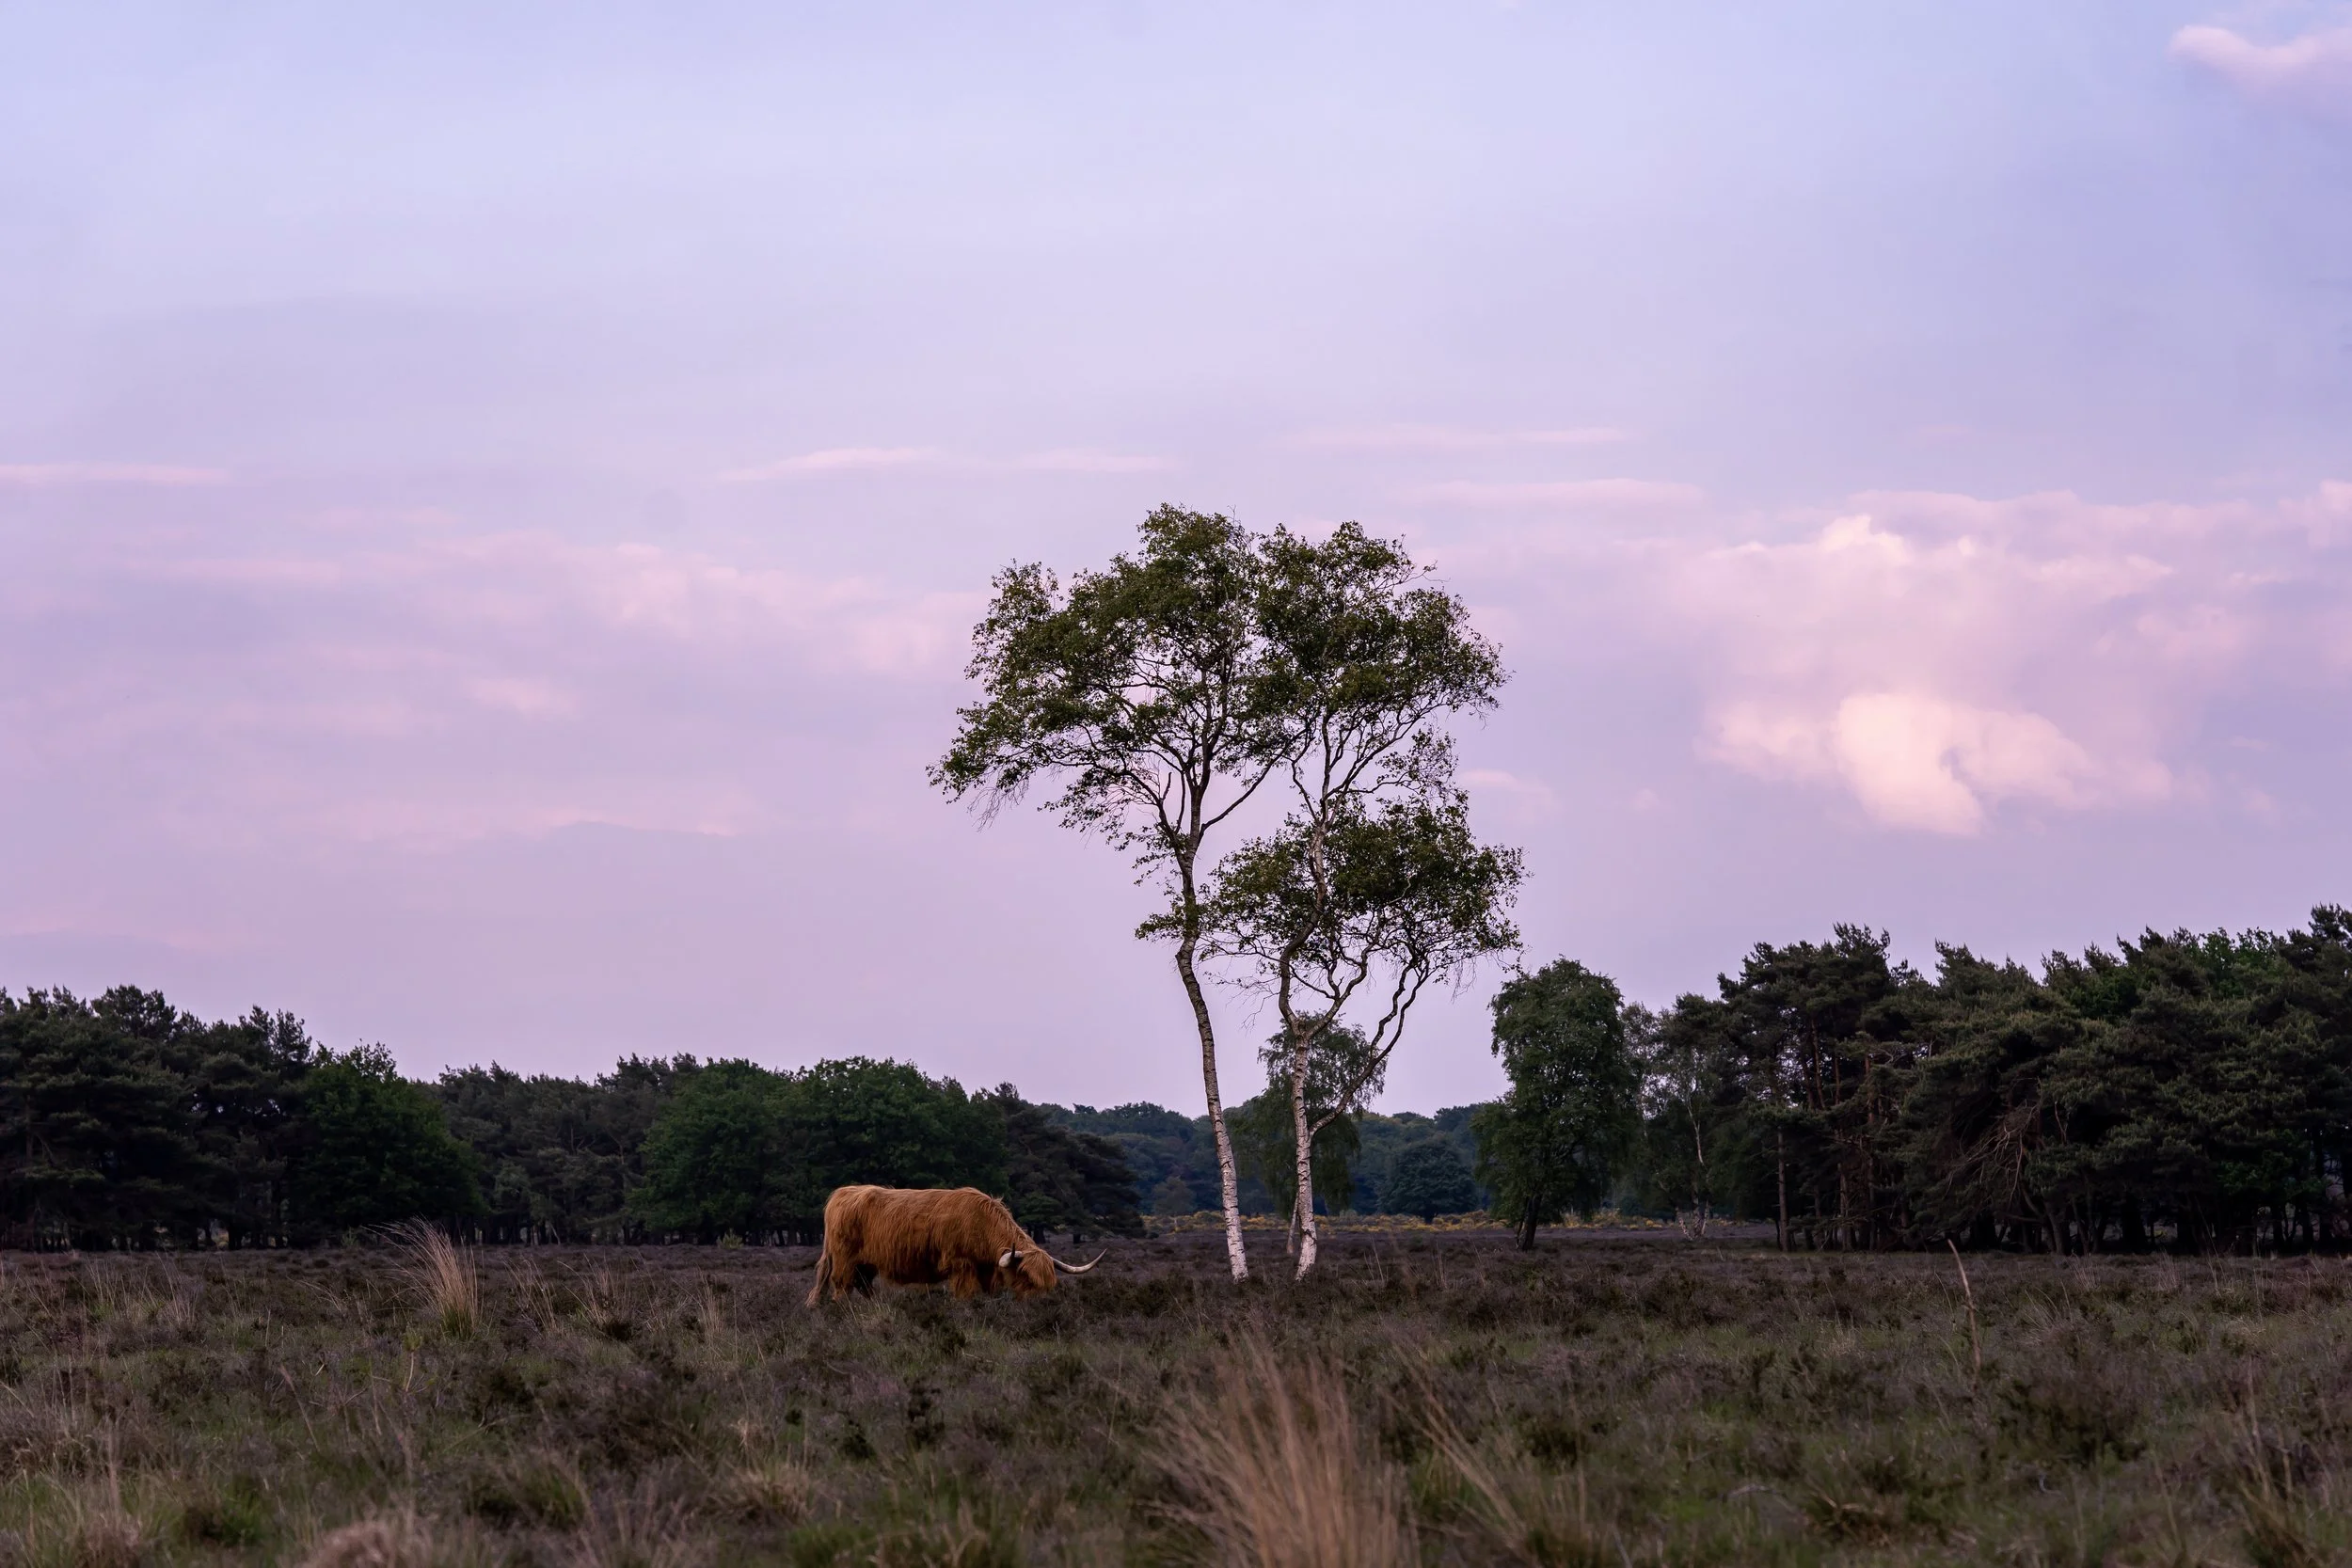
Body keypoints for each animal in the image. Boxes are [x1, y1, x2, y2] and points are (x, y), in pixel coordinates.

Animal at [805, 1185, 1101, 1304]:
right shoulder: (961, 1265)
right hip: (844, 1259)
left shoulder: (986, 1270)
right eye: (1027, 1278)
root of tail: (842, 1193)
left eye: (1051, 1283)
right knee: (841, 1287)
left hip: (866, 1263)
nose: (1044, 1304)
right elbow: (965, 1294)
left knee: (863, 1284)